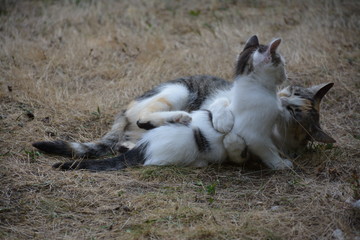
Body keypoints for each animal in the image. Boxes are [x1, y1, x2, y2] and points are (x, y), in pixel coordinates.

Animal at [39, 35, 334, 171]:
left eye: (295, 113)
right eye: (291, 93)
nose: (282, 100)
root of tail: (123, 114)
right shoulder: (223, 97)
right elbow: (222, 108)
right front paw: (224, 122)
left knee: (129, 141)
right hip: (177, 91)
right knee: (144, 118)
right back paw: (179, 117)